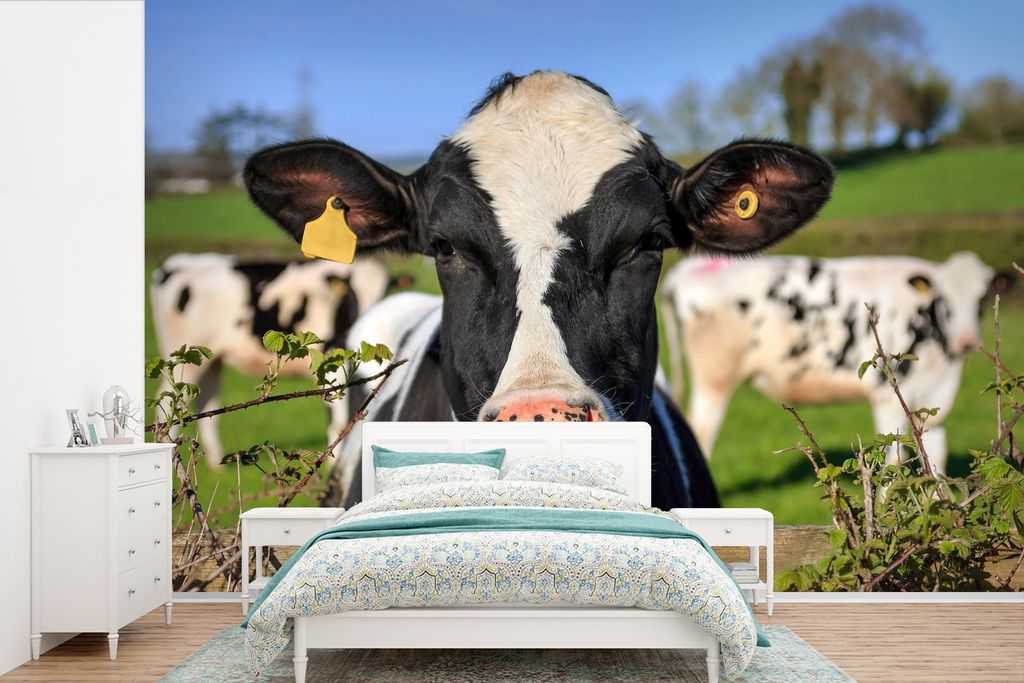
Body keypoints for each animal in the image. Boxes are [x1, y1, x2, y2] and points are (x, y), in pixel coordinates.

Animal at [151, 253, 405, 466]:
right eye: (351, 295)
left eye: (385, 293)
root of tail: (178, 262)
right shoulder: (332, 361)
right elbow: (338, 417)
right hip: (182, 356)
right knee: (169, 401)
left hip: (211, 360)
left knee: (207, 400)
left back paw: (215, 463)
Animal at [661, 251, 1009, 473]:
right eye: (944, 300)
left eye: (981, 299)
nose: (966, 341)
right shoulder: (887, 397)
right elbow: (894, 460)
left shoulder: (933, 401)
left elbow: (935, 461)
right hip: (715, 380)